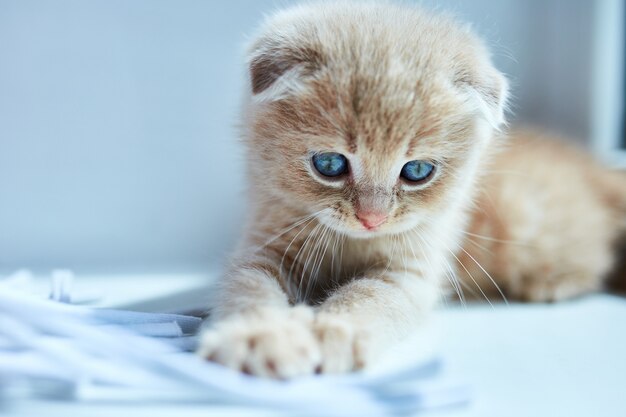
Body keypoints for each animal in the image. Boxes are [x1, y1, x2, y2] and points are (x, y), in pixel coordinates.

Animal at [196, 1, 624, 376]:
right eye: (330, 164)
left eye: (417, 171)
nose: (371, 218)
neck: (352, 244)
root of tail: (592, 165)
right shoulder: (264, 244)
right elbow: (248, 286)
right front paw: (258, 336)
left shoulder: (411, 271)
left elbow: (370, 297)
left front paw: (334, 332)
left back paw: (552, 285)